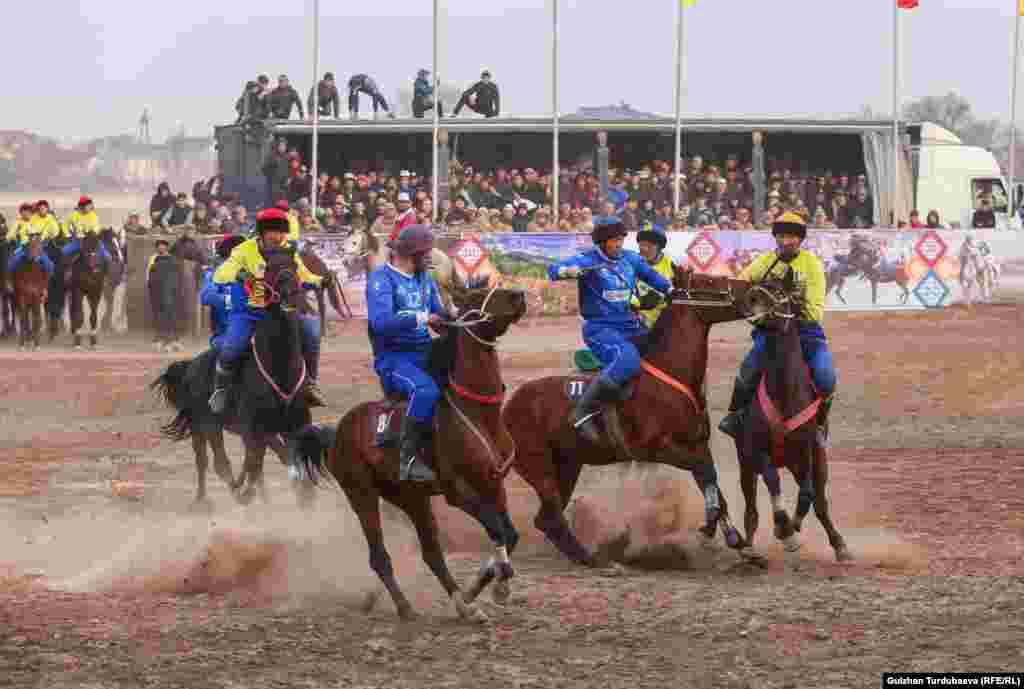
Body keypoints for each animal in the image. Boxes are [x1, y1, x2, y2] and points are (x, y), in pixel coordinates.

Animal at [151, 248, 311, 505]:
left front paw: (304, 494)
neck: (279, 370)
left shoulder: (294, 423)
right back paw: (207, 500)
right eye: (270, 268)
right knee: (212, 462)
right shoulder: (254, 428)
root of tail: (191, 366)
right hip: (204, 425)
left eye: (295, 266)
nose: (290, 293)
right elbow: (259, 459)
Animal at [290, 282, 524, 622]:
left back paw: (462, 604)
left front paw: (484, 587)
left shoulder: (493, 485)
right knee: (379, 556)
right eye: (477, 295)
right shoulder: (458, 491)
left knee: (431, 553)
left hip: (412, 498)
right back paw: (405, 606)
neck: (479, 414)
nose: (520, 295)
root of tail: (338, 432)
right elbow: (496, 529)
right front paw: (500, 583)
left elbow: (509, 533)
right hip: (362, 495)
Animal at [497, 266, 770, 573]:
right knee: (552, 516)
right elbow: (706, 474)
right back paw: (595, 560)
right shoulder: (658, 448)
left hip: (567, 465)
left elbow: (711, 481)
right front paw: (714, 529)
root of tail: (509, 406)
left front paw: (738, 542)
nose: (755, 293)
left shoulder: (697, 444)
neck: (668, 375)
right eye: (710, 281)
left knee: (546, 519)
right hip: (540, 467)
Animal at [733, 274, 851, 565]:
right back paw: (749, 548)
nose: (751, 299)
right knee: (751, 507)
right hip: (745, 464)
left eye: (779, 292)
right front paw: (784, 528)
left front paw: (791, 527)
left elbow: (808, 495)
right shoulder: (756, 451)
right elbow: (773, 481)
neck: (784, 391)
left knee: (819, 501)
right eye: (759, 284)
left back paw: (839, 544)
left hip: (817, 462)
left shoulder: (806, 451)